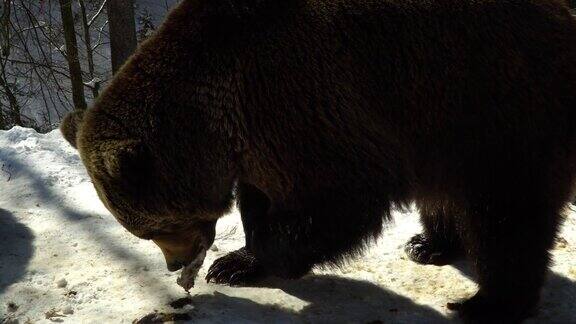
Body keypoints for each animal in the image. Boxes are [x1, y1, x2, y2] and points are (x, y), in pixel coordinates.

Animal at [59, 0, 576, 322]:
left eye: (153, 228)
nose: (174, 265)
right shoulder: (263, 137)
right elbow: (265, 197)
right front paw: (237, 260)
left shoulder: (309, 102)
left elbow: (341, 200)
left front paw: (251, 258)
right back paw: (428, 244)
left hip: (491, 106)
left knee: (505, 215)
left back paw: (487, 303)